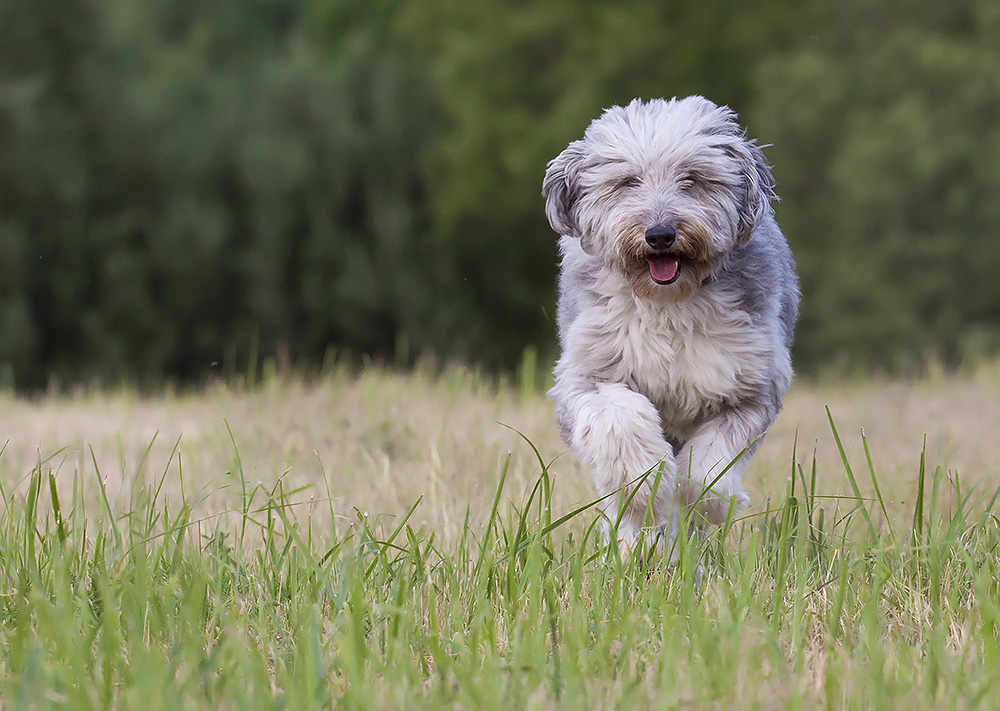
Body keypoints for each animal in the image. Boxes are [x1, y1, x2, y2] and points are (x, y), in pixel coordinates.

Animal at [544, 96, 800, 552]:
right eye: (628, 181)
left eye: (692, 179)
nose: (660, 234)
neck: (668, 303)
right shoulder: (587, 374)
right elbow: (620, 423)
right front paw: (646, 489)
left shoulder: (750, 387)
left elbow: (708, 469)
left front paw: (709, 504)